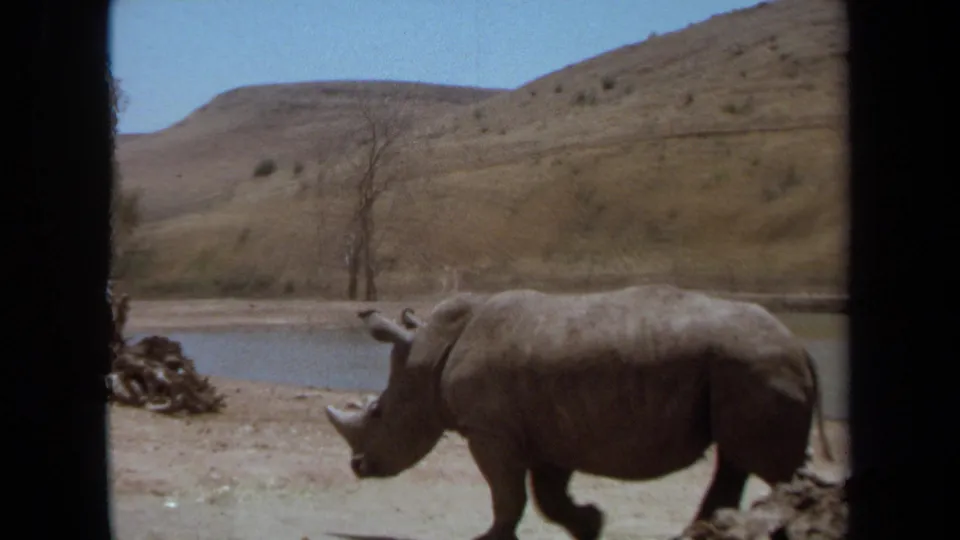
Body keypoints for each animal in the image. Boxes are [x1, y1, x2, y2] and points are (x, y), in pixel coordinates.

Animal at [325, 285, 835, 540]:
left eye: (378, 412)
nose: (357, 467)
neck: (428, 355)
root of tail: (800, 346)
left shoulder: (490, 430)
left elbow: (508, 494)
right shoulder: (551, 425)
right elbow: (547, 496)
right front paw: (591, 524)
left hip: (755, 366)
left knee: (768, 463)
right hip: (744, 369)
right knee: (735, 458)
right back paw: (700, 531)